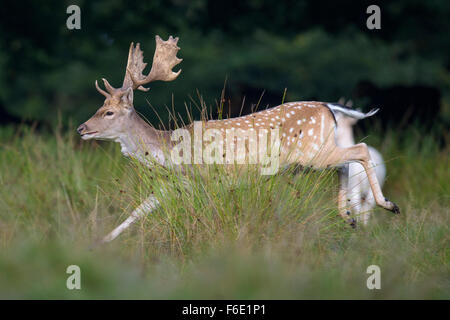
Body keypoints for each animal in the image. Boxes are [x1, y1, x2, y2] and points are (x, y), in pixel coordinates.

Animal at [77, 35, 400, 242]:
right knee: (346, 163)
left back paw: (388, 205)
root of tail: (328, 108)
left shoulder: (208, 179)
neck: (171, 150)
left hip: (312, 153)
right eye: (101, 107)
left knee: (360, 149)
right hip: (316, 155)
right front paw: (102, 242)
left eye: (108, 112)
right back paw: (348, 217)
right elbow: (138, 210)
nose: (81, 128)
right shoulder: (176, 184)